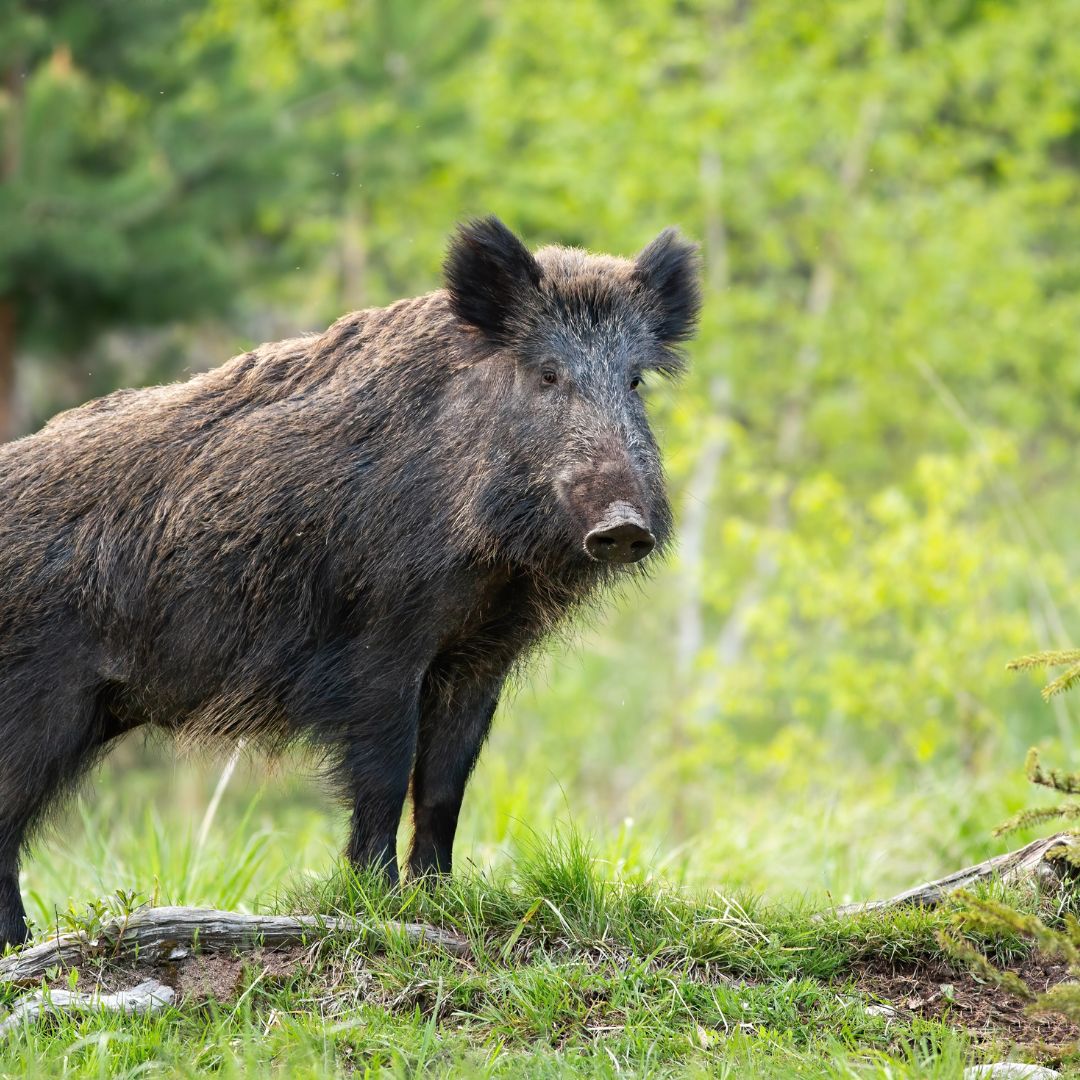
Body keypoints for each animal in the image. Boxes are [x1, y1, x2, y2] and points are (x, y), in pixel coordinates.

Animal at [0, 217, 700, 947]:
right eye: (547, 373)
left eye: (635, 381)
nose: (623, 525)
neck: (492, 566)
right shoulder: (380, 640)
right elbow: (387, 773)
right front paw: (380, 903)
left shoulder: (480, 657)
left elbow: (446, 783)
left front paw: (439, 900)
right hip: (41, 701)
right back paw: (19, 944)